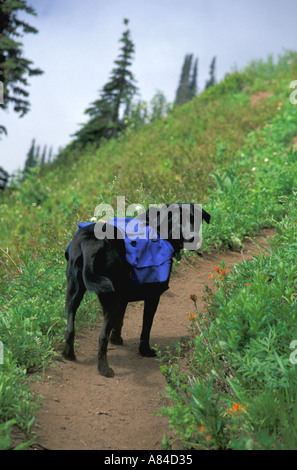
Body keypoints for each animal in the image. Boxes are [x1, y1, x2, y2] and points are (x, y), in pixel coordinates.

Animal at [63, 204, 210, 376]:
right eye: (178, 222)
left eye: (195, 220)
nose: (195, 239)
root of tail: (90, 242)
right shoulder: (152, 296)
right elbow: (146, 327)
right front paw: (145, 350)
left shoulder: (123, 298)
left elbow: (119, 321)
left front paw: (117, 340)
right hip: (110, 297)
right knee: (101, 337)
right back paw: (104, 369)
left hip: (74, 291)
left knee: (70, 328)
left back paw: (68, 354)